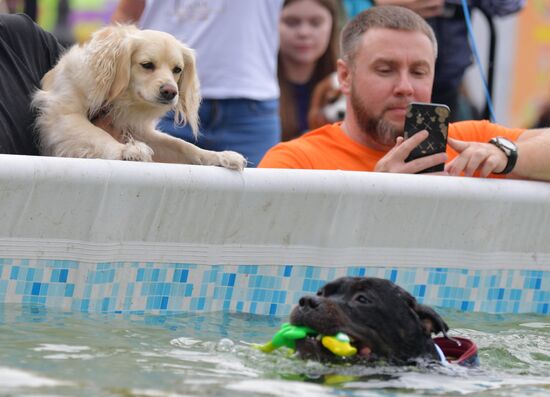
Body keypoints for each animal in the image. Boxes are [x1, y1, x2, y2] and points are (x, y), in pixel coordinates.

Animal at [32, 24, 248, 168]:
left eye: (177, 70)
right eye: (147, 65)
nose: (171, 92)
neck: (118, 99)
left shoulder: (139, 131)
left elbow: (183, 146)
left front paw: (219, 156)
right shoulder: (63, 116)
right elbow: (97, 134)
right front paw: (124, 150)